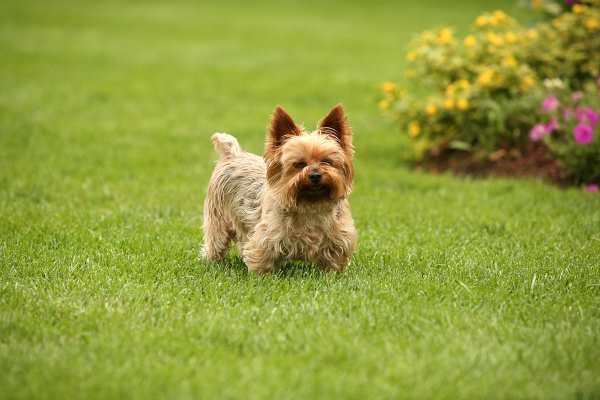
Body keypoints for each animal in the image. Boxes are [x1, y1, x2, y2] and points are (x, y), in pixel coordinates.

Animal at [202, 104, 356, 274]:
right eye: (299, 164)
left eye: (327, 161)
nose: (315, 175)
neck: (310, 204)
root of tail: (232, 155)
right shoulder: (266, 236)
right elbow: (262, 257)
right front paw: (263, 276)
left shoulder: (339, 238)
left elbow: (333, 260)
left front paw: (331, 274)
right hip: (218, 217)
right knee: (216, 241)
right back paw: (213, 261)